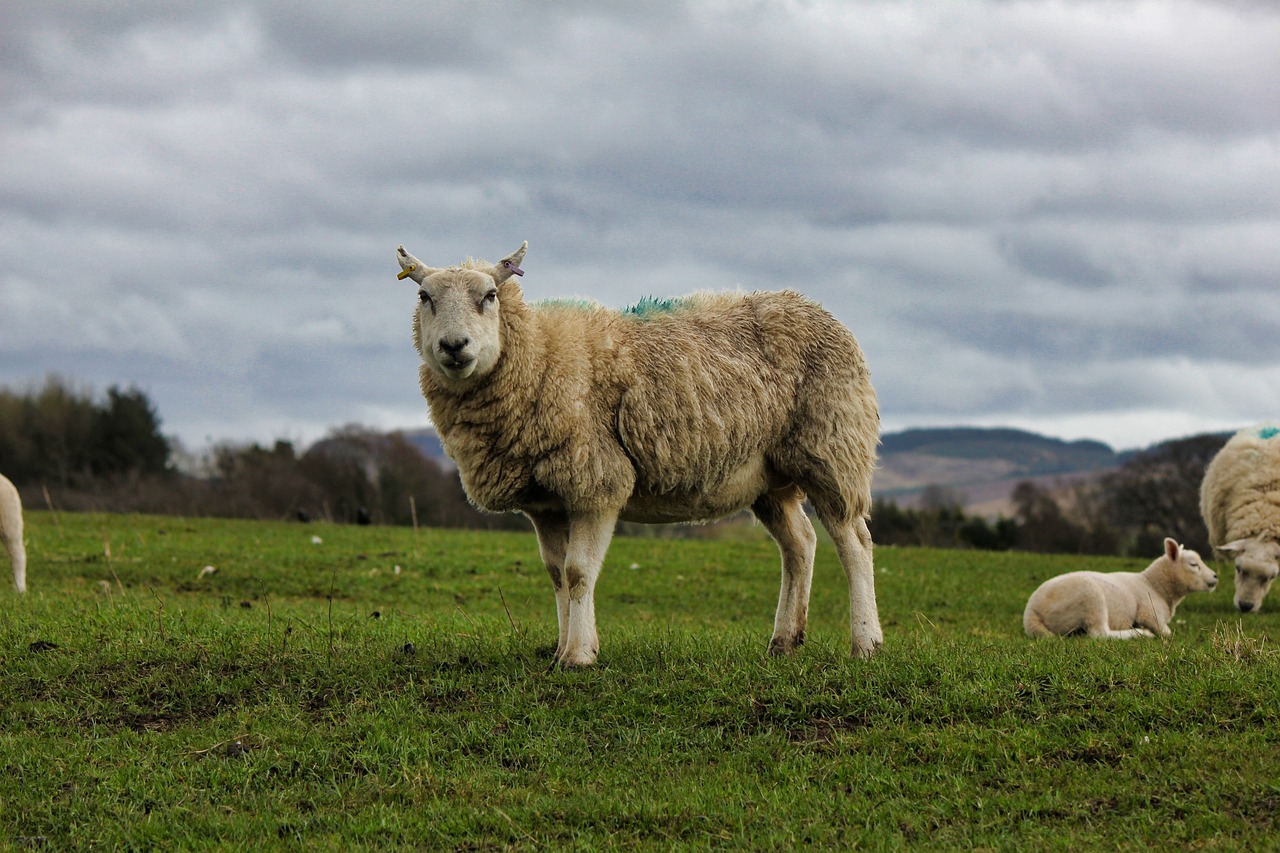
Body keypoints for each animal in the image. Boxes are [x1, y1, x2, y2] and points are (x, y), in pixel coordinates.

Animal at [394, 239, 885, 666]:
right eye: (424, 296)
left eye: (490, 295)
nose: (454, 346)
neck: (541, 354)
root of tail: (812, 306)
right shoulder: (544, 502)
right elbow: (556, 574)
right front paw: (564, 648)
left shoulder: (597, 481)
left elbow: (578, 572)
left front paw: (578, 656)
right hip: (768, 477)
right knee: (800, 543)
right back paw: (785, 641)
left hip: (832, 446)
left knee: (854, 541)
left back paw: (866, 643)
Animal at [1018, 537, 1218, 637]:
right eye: (1193, 564)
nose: (1215, 576)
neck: (1155, 585)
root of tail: (1031, 613)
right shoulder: (1150, 614)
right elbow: (1166, 632)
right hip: (1091, 598)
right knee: (1100, 634)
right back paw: (1140, 634)